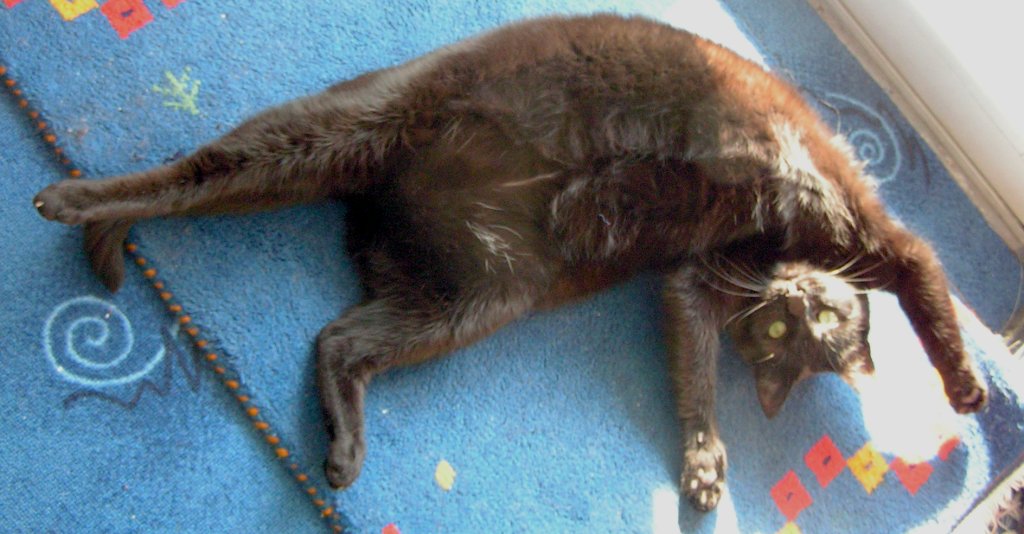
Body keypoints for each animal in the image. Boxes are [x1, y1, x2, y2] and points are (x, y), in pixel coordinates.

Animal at [32, 14, 987, 512]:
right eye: (806, 321)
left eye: (785, 339)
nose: (787, 300)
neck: (768, 253)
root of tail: (383, 194)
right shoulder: (869, 232)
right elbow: (929, 283)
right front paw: (967, 385)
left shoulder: (693, 285)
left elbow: (696, 377)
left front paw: (705, 461)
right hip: (337, 129)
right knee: (185, 174)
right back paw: (77, 202)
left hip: (482, 295)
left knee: (336, 340)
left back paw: (343, 454)